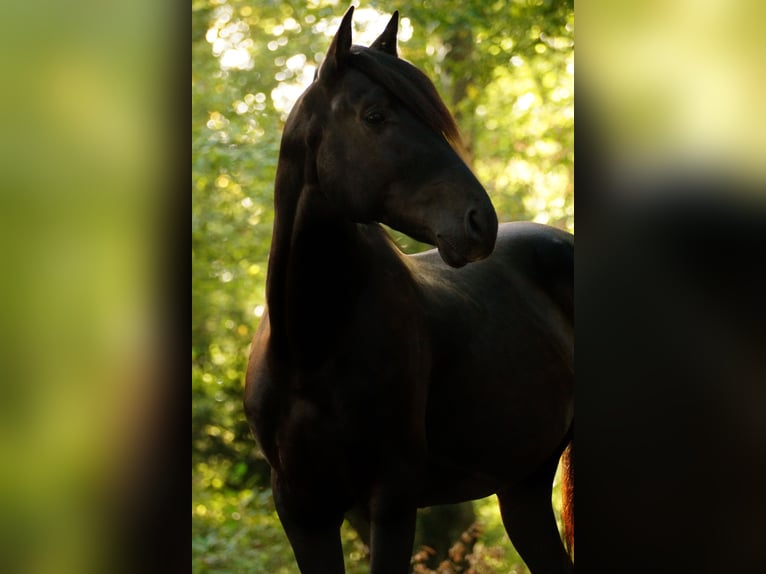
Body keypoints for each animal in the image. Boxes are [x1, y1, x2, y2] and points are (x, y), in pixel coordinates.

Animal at [243, 9, 572, 574]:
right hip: (524, 486)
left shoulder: (392, 500)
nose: (480, 221)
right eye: (375, 116)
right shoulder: (303, 509)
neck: (313, 345)